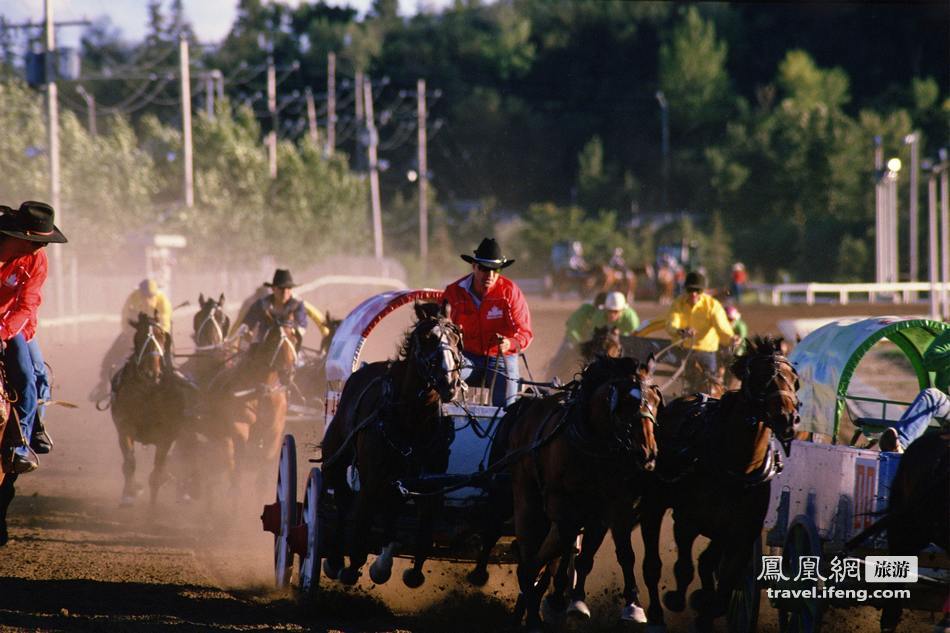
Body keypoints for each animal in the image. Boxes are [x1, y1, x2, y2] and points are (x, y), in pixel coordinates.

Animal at [110, 312, 189, 504]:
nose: (152, 373)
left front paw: (152, 506)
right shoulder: (124, 426)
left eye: (162, 336)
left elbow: (157, 471)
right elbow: (129, 462)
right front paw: (128, 495)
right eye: (138, 337)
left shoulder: (167, 435)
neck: (149, 391)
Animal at [322, 302, 466, 588]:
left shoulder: (427, 484)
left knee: (387, 511)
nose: (450, 384)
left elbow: (423, 533)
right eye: (428, 338)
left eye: (455, 338)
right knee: (341, 498)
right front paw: (351, 567)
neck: (412, 420)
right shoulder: (371, 481)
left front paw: (403, 570)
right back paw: (334, 560)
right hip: (337, 456)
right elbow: (361, 528)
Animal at [506, 356, 660, 632]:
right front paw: (559, 599)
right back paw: (532, 613)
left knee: (541, 560)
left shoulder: (613, 507)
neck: (593, 445)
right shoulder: (565, 508)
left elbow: (623, 553)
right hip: (526, 499)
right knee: (531, 557)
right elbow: (564, 549)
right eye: (628, 402)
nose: (648, 454)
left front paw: (632, 606)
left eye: (655, 400)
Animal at [640, 334, 804, 628]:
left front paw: (705, 605)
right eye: (762, 378)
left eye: (794, 380)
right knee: (653, 561)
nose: (788, 419)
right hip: (655, 504)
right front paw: (679, 598)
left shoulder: (739, 532)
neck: (738, 469)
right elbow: (685, 566)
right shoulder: (689, 520)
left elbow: (722, 580)